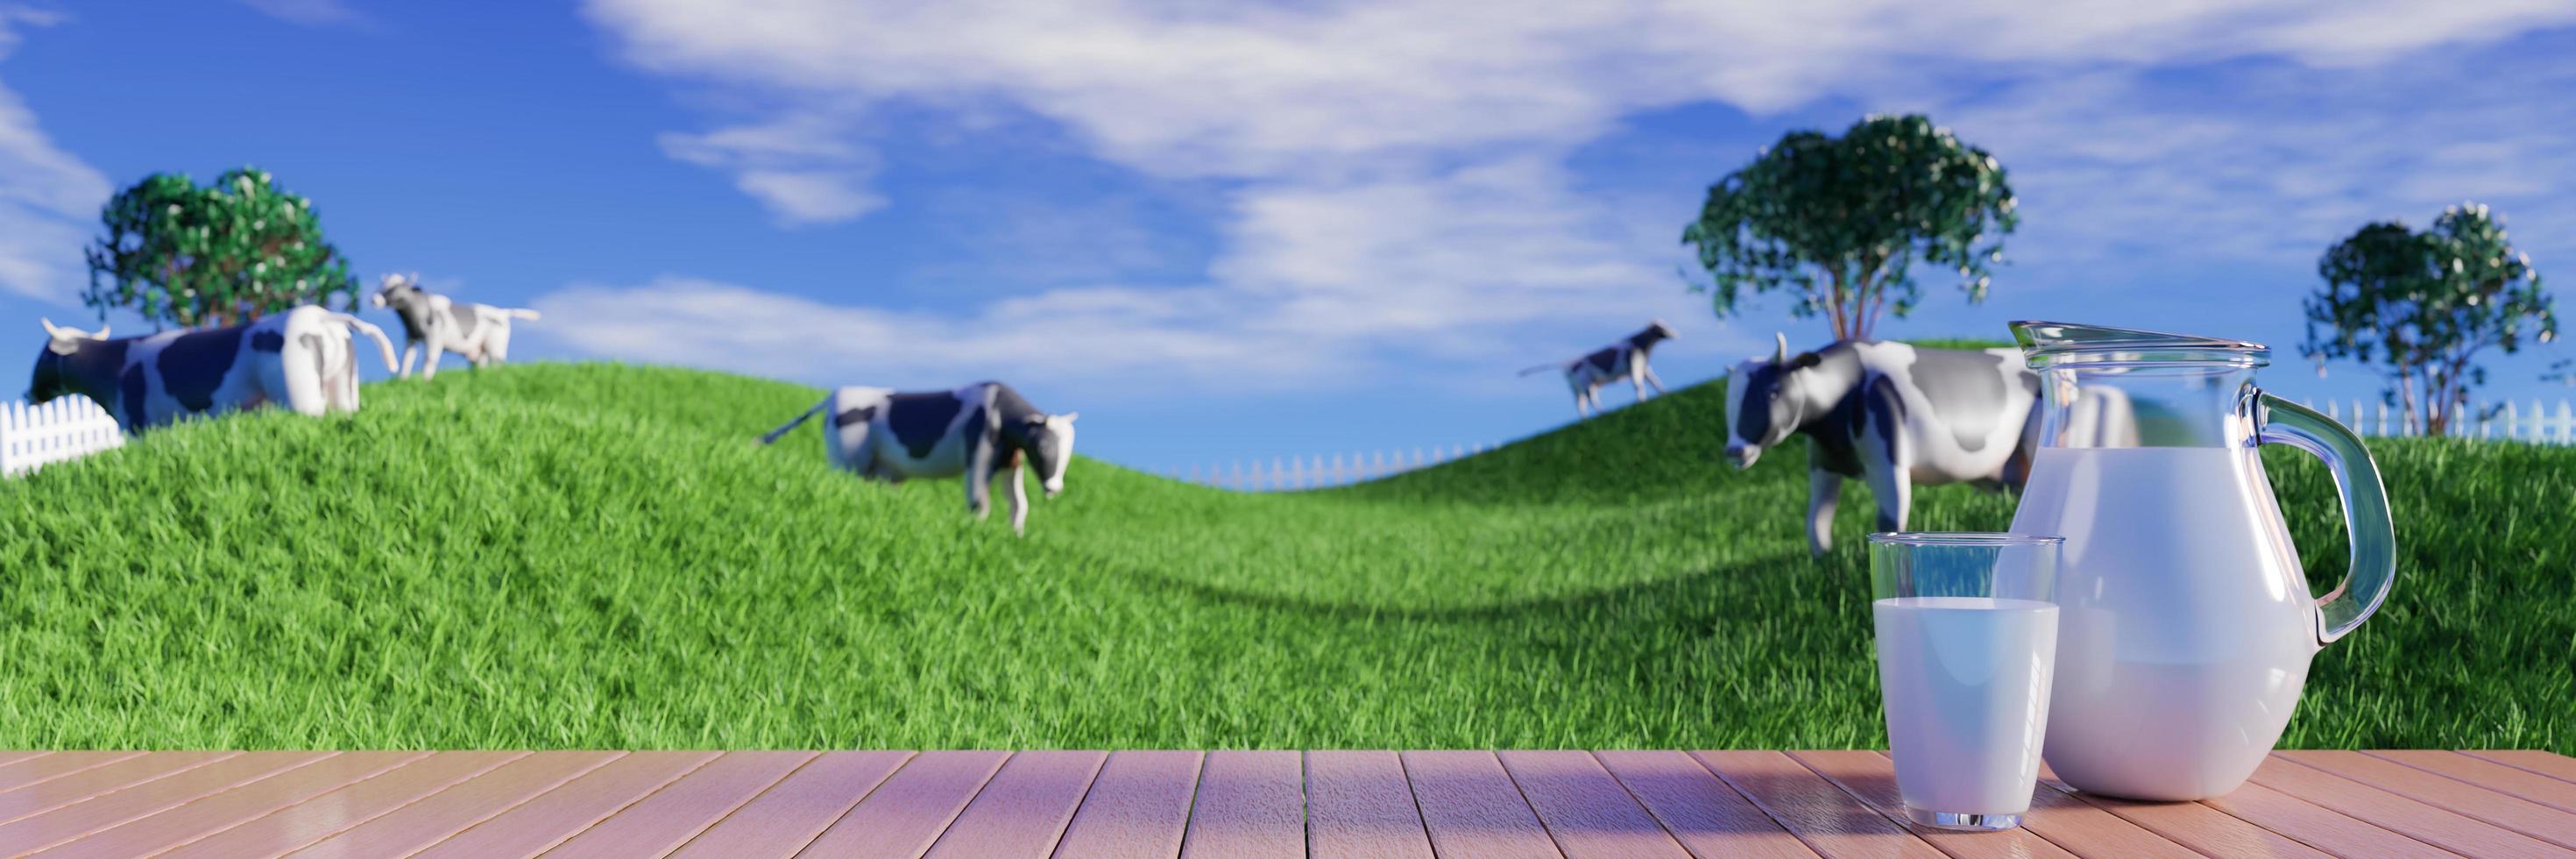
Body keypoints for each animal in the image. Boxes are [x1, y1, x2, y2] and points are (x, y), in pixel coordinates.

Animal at [25, 304, 399, 430]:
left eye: (43, 356)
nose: (28, 394)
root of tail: (323, 316)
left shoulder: (137, 423)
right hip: (343, 386)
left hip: (300, 389)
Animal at [368, 274, 538, 379]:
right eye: (382, 286)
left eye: (396, 288)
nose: (374, 299)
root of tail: (503, 312)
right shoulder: (410, 337)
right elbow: (406, 361)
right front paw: (402, 381)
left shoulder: (435, 337)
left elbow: (429, 360)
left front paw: (425, 381)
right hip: (480, 349)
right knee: (480, 366)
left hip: (496, 346)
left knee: (497, 365)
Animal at [752, 379, 1076, 531]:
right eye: (1045, 447)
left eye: (1069, 453)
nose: (1055, 488)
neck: (1002, 414)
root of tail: (833, 396)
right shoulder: (978, 456)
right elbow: (978, 503)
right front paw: (977, 533)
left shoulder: (1011, 461)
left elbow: (1019, 506)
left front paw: (1015, 538)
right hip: (847, 459)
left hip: (875, 468)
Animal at [1514, 319, 1679, 415]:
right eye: (1660, 327)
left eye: (1666, 325)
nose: (1675, 333)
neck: (1641, 346)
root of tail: (1567, 364)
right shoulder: (1633, 367)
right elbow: (1638, 385)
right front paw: (1642, 401)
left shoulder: (1643, 367)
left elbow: (1654, 381)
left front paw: (1665, 393)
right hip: (1585, 382)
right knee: (1590, 398)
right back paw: (1601, 413)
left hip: (1577, 388)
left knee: (1581, 403)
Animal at [1720, 330, 2040, 551]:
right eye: (1728, 401)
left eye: (1773, 392)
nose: (1735, 450)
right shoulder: (1823, 464)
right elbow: (1816, 523)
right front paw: (1822, 561)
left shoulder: (1888, 459)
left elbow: (1890, 519)